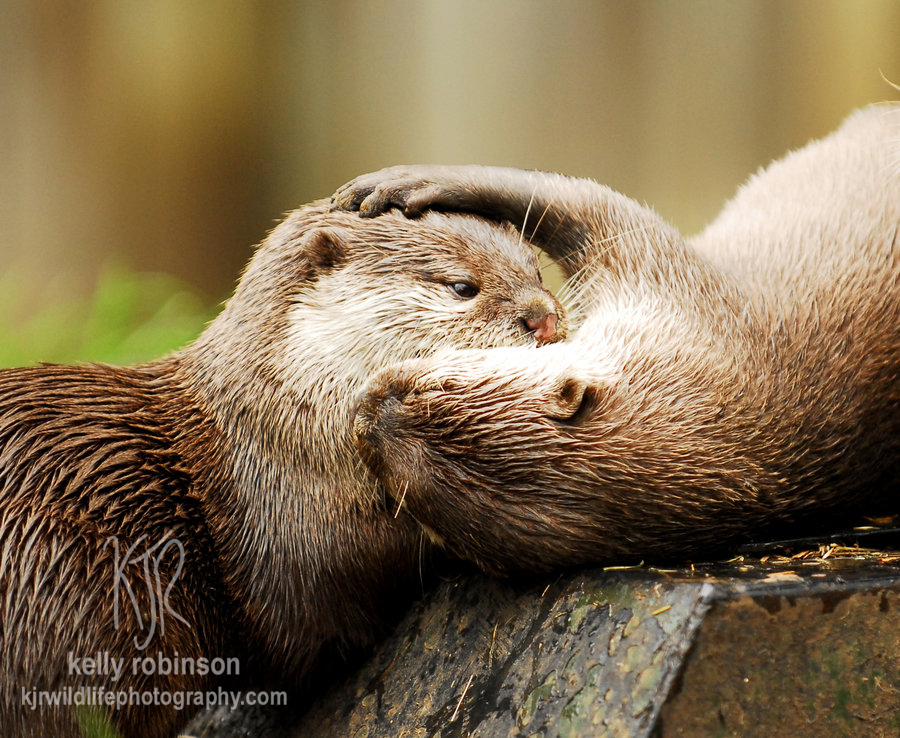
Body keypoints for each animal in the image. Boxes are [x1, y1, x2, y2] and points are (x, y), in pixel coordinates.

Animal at [332, 103, 900, 576]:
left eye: (437, 388)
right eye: (406, 492)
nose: (364, 407)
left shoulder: (667, 274)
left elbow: (576, 197)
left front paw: (412, 180)